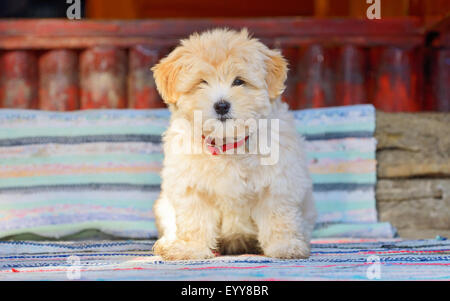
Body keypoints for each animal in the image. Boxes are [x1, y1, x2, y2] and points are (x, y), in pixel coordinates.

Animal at [151, 27, 316, 260]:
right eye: (201, 82)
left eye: (239, 81)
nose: (221, 106)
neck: (227, 144)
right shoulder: (190, 187)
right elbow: (194, 220)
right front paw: (191, 248)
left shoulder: (278, 184)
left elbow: (279, 217)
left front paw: (284, 246)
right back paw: (168, 243)